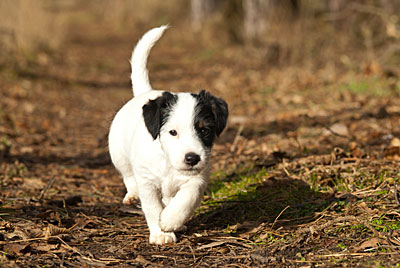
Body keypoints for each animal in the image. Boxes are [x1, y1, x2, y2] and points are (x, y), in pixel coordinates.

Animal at [108, 25, 228, 245]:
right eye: (172, 132)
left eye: (204, 130)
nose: (192, 158)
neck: (168, 163)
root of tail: (145, 92)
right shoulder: (147, 182)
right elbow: (153, 208)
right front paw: (160, 233)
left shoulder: (197, 179)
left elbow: (186, 199)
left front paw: (171, 220)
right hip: (118, 154)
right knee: (128, 175)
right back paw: (132, 195)